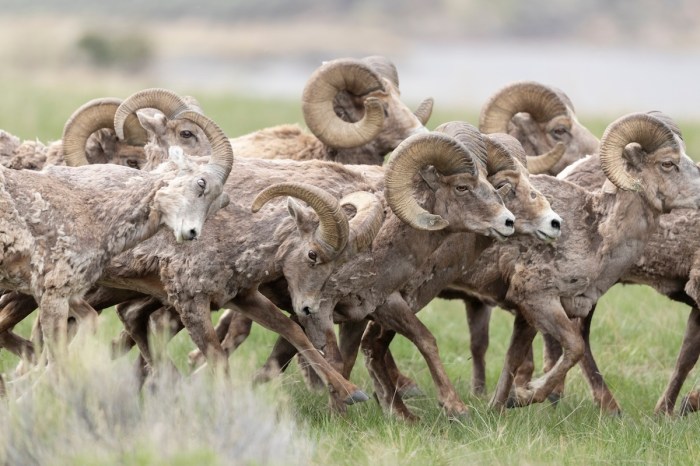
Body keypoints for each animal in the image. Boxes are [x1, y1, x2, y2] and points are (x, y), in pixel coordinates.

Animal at [0, 108, 233, 362]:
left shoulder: (71, 296)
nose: (191, 233)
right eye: (201, 183)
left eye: (218, 204)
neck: (94, 213)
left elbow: (87, 325)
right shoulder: (54, 296)